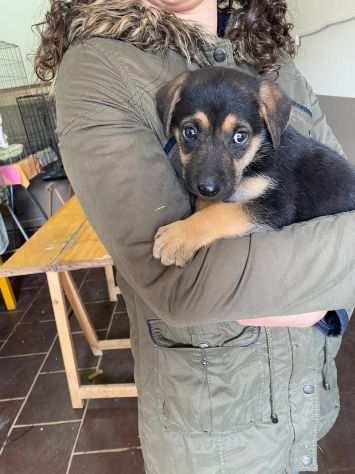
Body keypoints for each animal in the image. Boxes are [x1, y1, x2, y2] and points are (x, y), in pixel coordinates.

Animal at [153, 66, 355, 266]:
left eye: (240, 137)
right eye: (189, 132)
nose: (207, 189)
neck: (254, 159)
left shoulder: (277, 204)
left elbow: (221, 212)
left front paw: (178, 236)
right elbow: (211, 206)